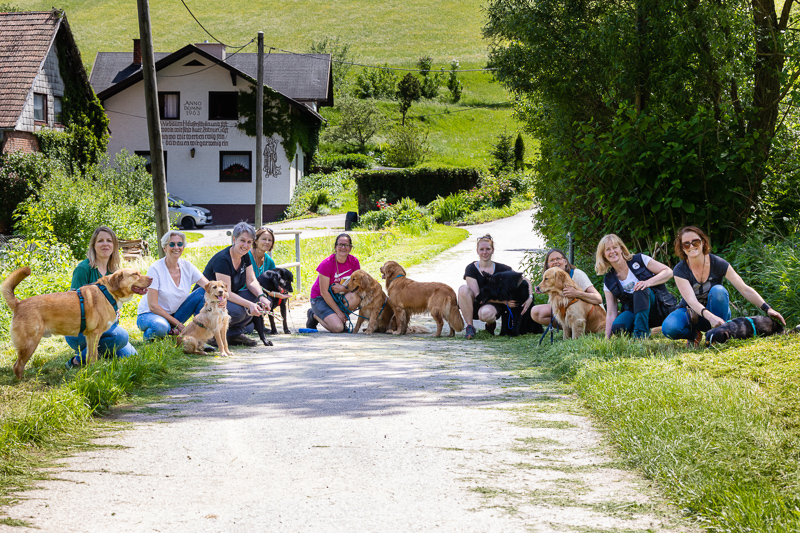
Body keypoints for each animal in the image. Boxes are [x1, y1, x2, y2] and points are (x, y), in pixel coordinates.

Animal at [1, 266, 152, 378]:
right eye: (135, 274)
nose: (151, 278)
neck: (108, 292)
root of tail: (18, 304)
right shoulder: (94, 334)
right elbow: (93, 356)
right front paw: (96, 372)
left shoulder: (90, 336)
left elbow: (91, 356)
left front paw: (92, 370)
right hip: (29, 344)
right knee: (18, 366)